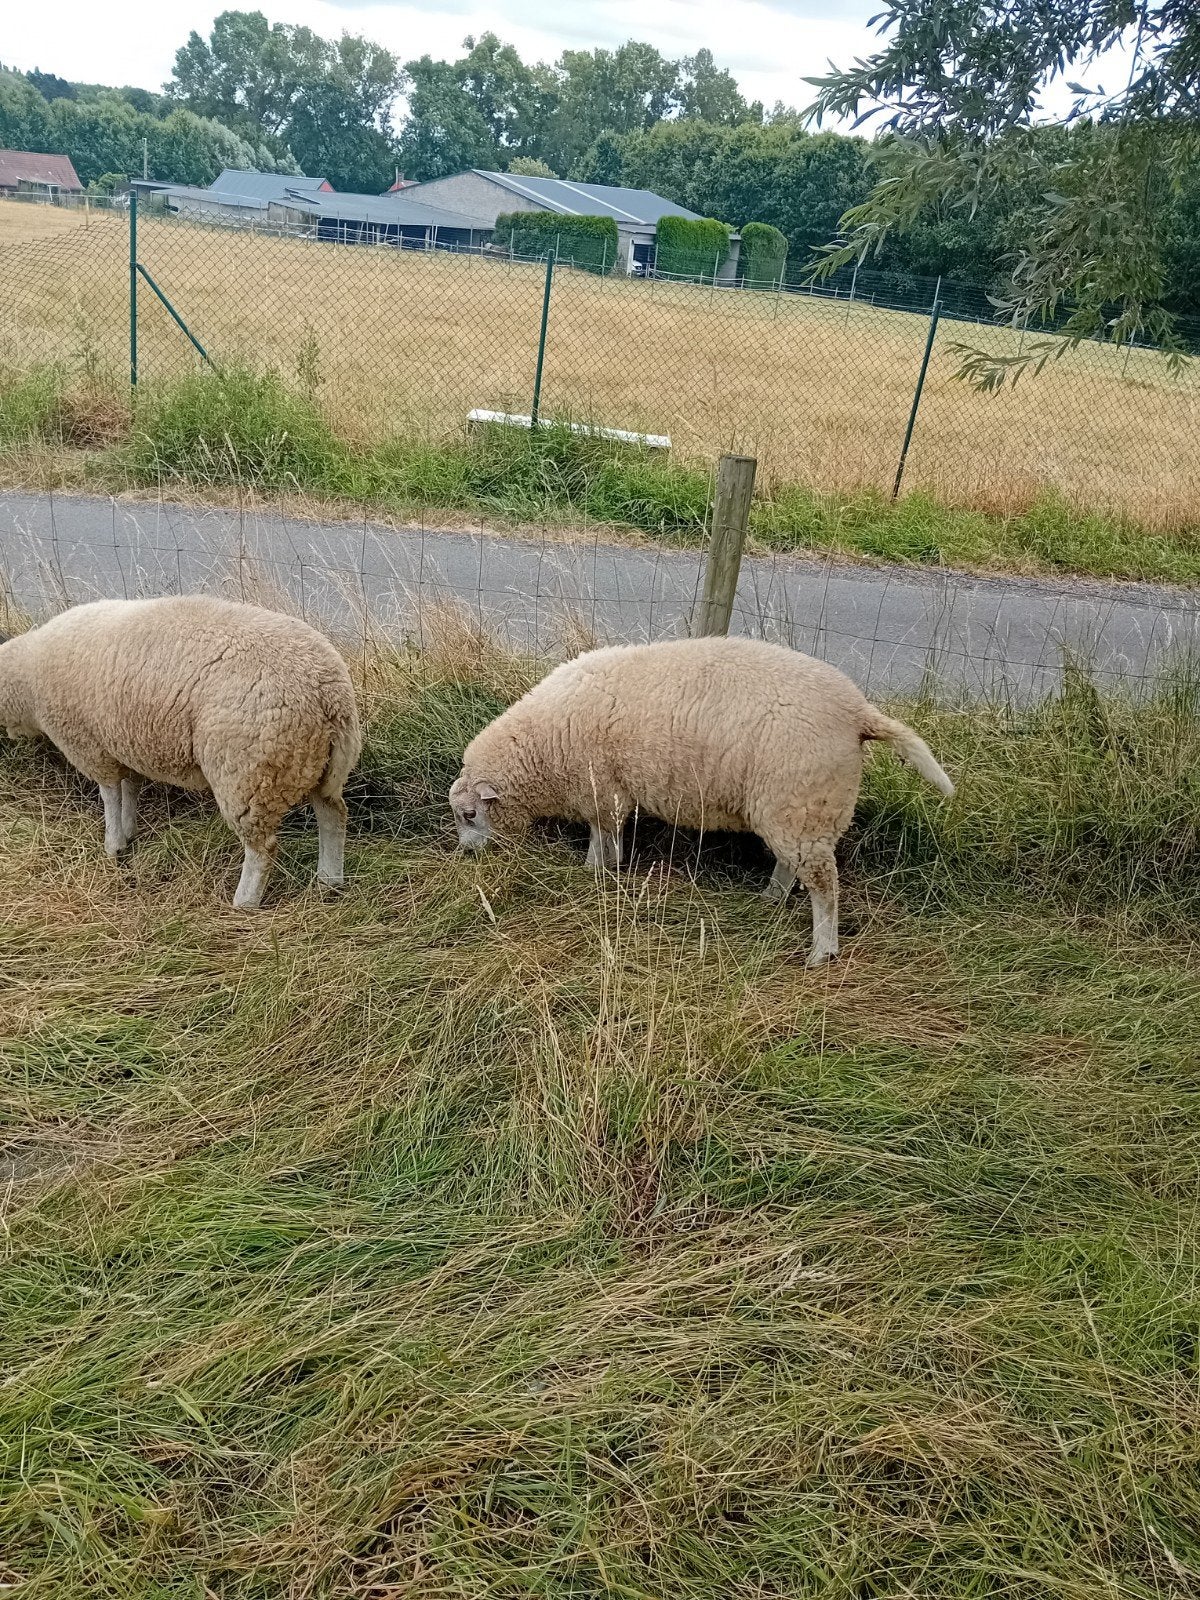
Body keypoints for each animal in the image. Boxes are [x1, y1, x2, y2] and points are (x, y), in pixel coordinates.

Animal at [0, 596, 361, 910]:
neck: (28, 674)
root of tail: (329, 691)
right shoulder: (125, 744)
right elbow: (130, 789)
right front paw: (129, 832)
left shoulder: (91, 747)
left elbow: (110, 795)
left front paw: (113, 845)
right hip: (319, 766)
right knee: (333, 816)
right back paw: (329, 881)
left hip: (248, 773)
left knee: (263, 849)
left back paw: (244, 903)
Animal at [449, 636, 954, 966]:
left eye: (471, 814)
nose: (466, 855)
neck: (542, 745)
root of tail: (857, 712)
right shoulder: (604, 791)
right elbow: (604, 835)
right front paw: (602, 870)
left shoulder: (603, 789)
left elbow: (602, 838)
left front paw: (596, 871)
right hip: (790, 807)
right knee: (793, 864)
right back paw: (771, 899)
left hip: (802, 801)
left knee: (823, 883)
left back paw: (821, 951)